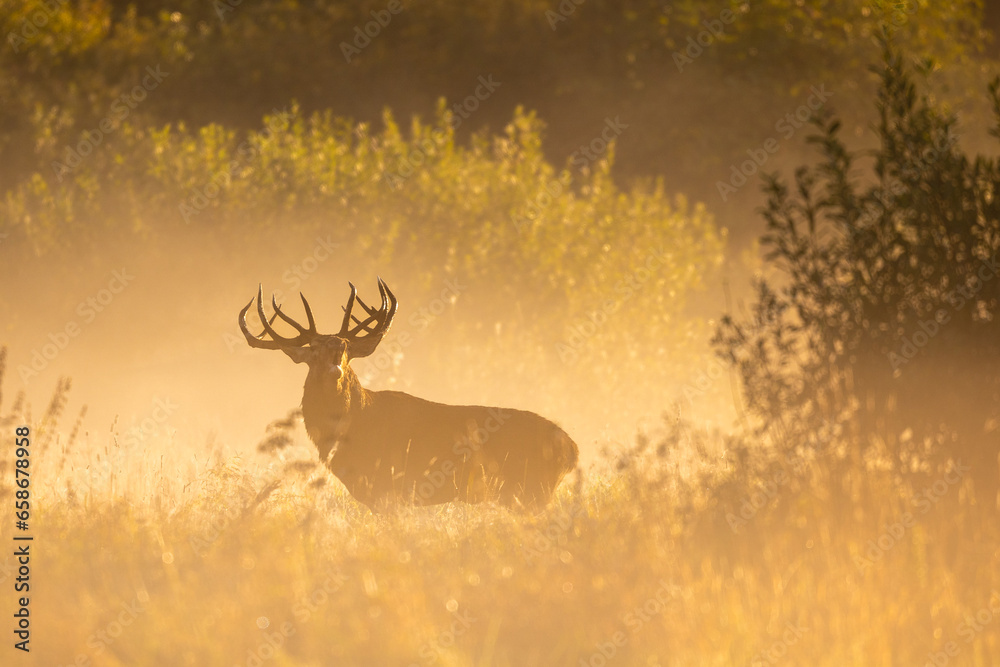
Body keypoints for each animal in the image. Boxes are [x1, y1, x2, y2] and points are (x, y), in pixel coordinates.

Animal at [239, 279, 579, 511]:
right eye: (313, 352)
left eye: (345, 349)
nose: (335, 371)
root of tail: (572, 449)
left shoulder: (389, 487)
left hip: (532, 491)